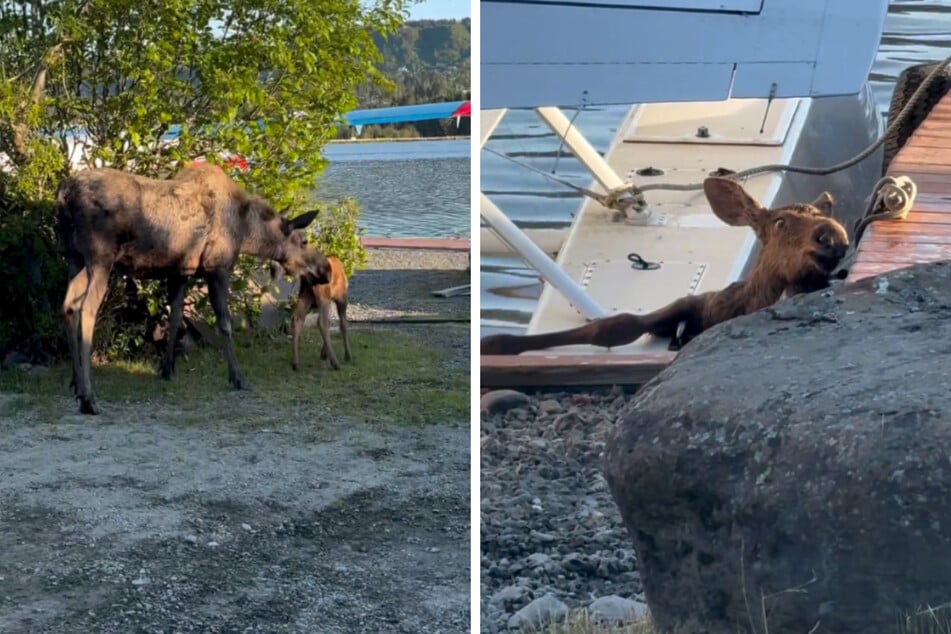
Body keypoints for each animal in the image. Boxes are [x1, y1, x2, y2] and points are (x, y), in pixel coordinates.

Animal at [57, 162, 330, 414]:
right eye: (304, 241)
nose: (325, 268)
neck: (246, 232)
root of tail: (65, 194)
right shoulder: (217, 267)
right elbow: (224, 324)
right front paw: (238, 377)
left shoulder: (180, 272)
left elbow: (176, 316)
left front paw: (168, 369)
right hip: (100, 258)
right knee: (87, 309)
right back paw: (89, 397)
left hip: (74, 257)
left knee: (68, 306)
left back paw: (76, 383)